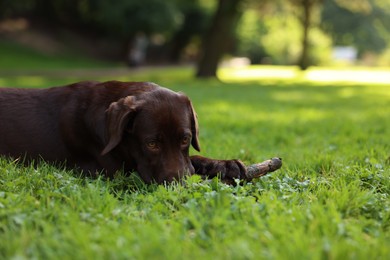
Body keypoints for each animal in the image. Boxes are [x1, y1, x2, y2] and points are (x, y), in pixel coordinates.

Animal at [0, 80, 245, 184]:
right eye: (151, 144)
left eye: (185, 139)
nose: (179, 185)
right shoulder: (114, 171)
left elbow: (194, 159)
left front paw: (225, 165)